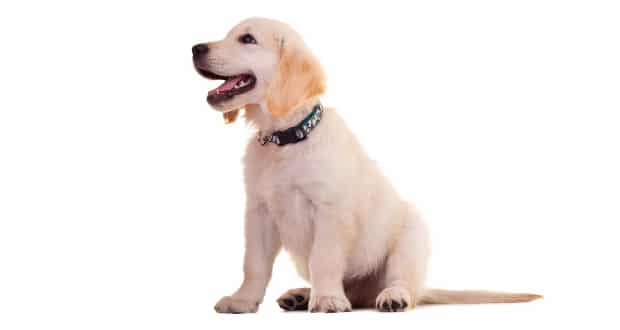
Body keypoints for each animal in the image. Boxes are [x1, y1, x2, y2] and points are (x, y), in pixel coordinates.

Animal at [191, 17, 540, 312]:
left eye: (247, 39)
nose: (195, 48)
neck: (287, 140)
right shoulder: (259, 212)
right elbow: (254, 264)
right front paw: (242, 300)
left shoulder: (331, 211)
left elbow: (324, 259)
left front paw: (327, 299)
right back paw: (301, 295)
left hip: (411, 235)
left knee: (403, 284)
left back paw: (390, 296)